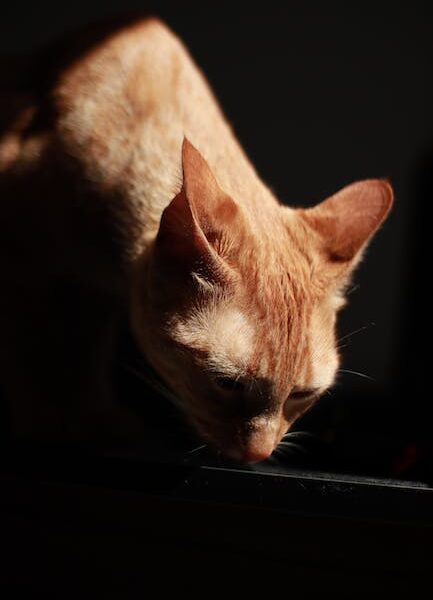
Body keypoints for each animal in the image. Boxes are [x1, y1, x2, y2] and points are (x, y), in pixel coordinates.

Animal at [0, 17, 392, 460]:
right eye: (225, 383)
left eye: (301, 394)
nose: (258, 455)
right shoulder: (25, 268)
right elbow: (31, 356)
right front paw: (48, 427)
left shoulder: (93, 298)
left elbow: (82, 360)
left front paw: (94, 423)